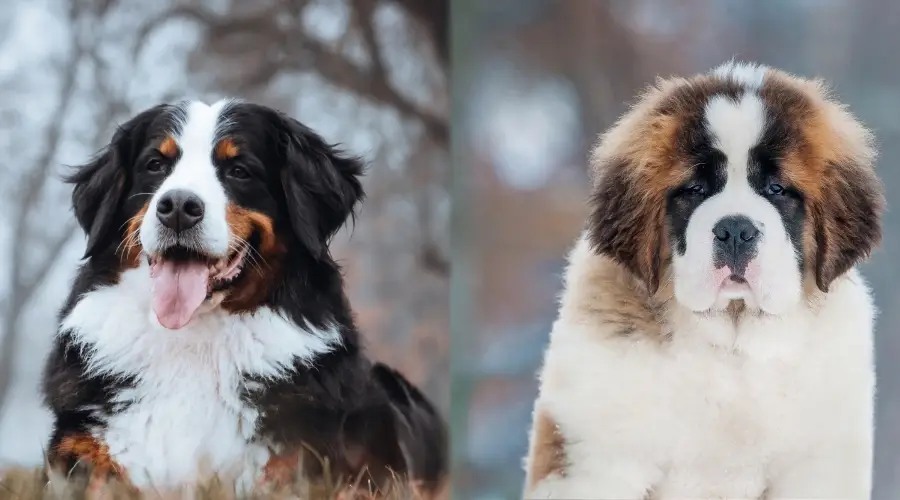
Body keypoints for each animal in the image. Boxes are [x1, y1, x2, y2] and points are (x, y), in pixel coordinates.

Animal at [40, 99, 448, 494]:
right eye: (155, 165)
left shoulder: (305, 459)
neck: (192, 342)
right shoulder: (84, 454)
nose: (178, 207)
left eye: (239, 170)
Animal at [524, 63, 884, 500]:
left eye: (776, 189)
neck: (730, 343)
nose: (736, 231)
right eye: (694, 189)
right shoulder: (595, 455)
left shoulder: (818, 464)